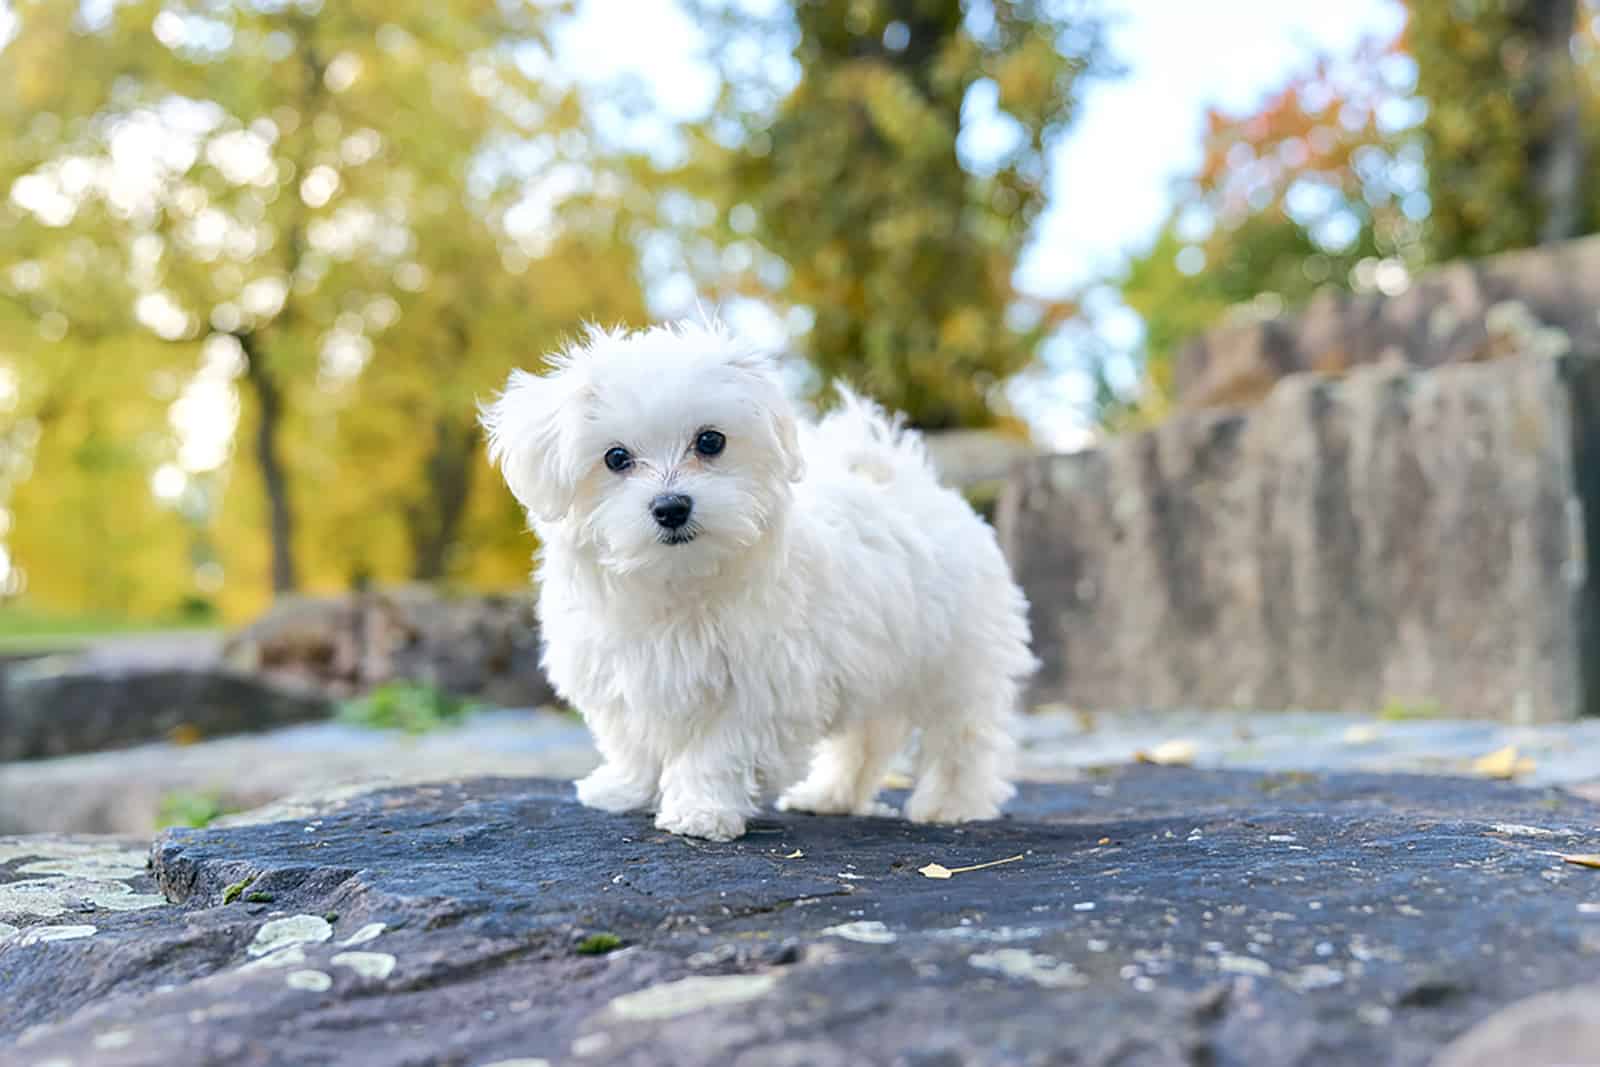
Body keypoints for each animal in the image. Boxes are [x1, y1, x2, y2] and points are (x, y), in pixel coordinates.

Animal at [480, 319, 1036, 844]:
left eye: (710, 441)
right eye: (615, 458)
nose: (671, 506)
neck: (678, 581)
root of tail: (916, 484)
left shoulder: (757, 685)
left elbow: (715, 751)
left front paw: (700, 811)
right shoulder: (619, 669)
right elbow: (631, 739)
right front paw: (623, 788)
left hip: (956, 660)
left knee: (963, 736)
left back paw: (951, 803)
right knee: (865, 739)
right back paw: (829, 795)